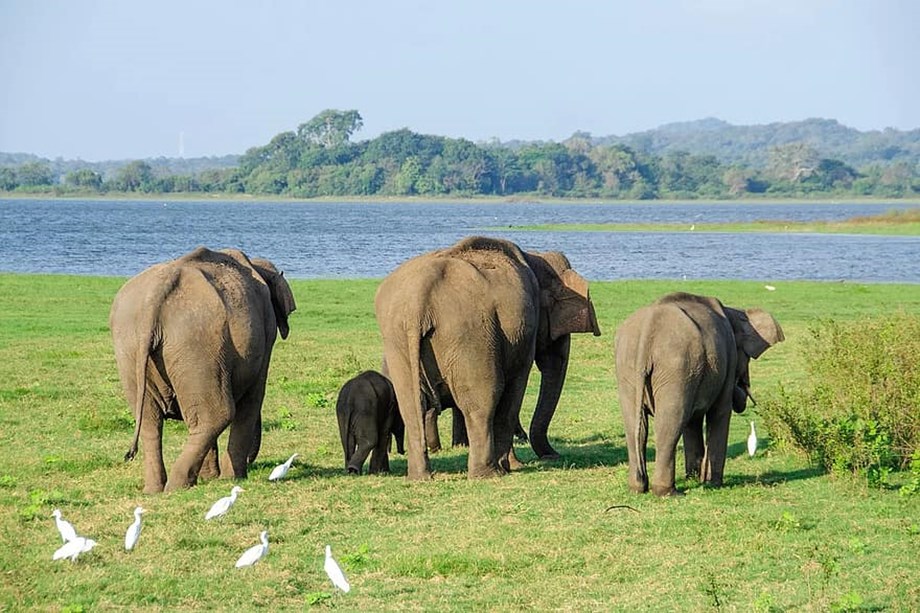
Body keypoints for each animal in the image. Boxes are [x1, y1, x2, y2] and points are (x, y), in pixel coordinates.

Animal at [110, 246, 296, 493]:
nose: (252, 460)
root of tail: (154, 297)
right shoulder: (266, 335)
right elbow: (254, 396)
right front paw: (232, 478)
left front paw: (211, 477)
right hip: (196, 342)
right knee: (218, 414)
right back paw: (178, 487)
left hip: (131, 347)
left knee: (152, 421)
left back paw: (155, 489)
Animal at [375, 236, 601, 480]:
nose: (553, 456)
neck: (535, 256)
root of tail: (417, 303)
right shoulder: (524, 333)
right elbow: (515, 388)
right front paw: (513, 465)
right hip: (470, 334)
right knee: (483, 400)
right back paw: (488, 473)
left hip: (397, 339)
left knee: (411, 403)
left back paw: (420, 477)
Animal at [614, 292, 784, 496]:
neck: (734, 311)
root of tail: (648, 329)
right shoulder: (726, 361)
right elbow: (719, 413)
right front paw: (712, 483)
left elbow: (692, 422)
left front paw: (693, 478)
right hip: (676, 367)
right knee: (669, 424)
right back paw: (668, 492)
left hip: (629, 368)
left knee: (635, 426)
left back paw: (637, 487)